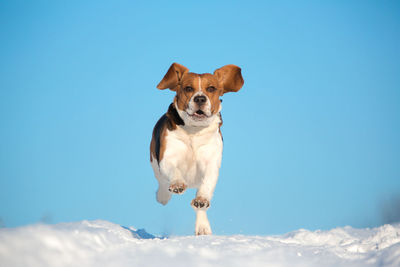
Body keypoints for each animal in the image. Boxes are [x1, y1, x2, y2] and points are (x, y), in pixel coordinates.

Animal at [150, 63, 244, 237]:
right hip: (155, 163)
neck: (194, 130)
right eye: (188, 88)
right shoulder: (167, 158)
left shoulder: (211, 163)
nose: (200, 98)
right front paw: (177, 184)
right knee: (162, 183)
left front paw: (202, 200)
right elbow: (174, 171)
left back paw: (202, 226)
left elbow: (206, 185)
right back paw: (163, 196)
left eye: (211, 88)